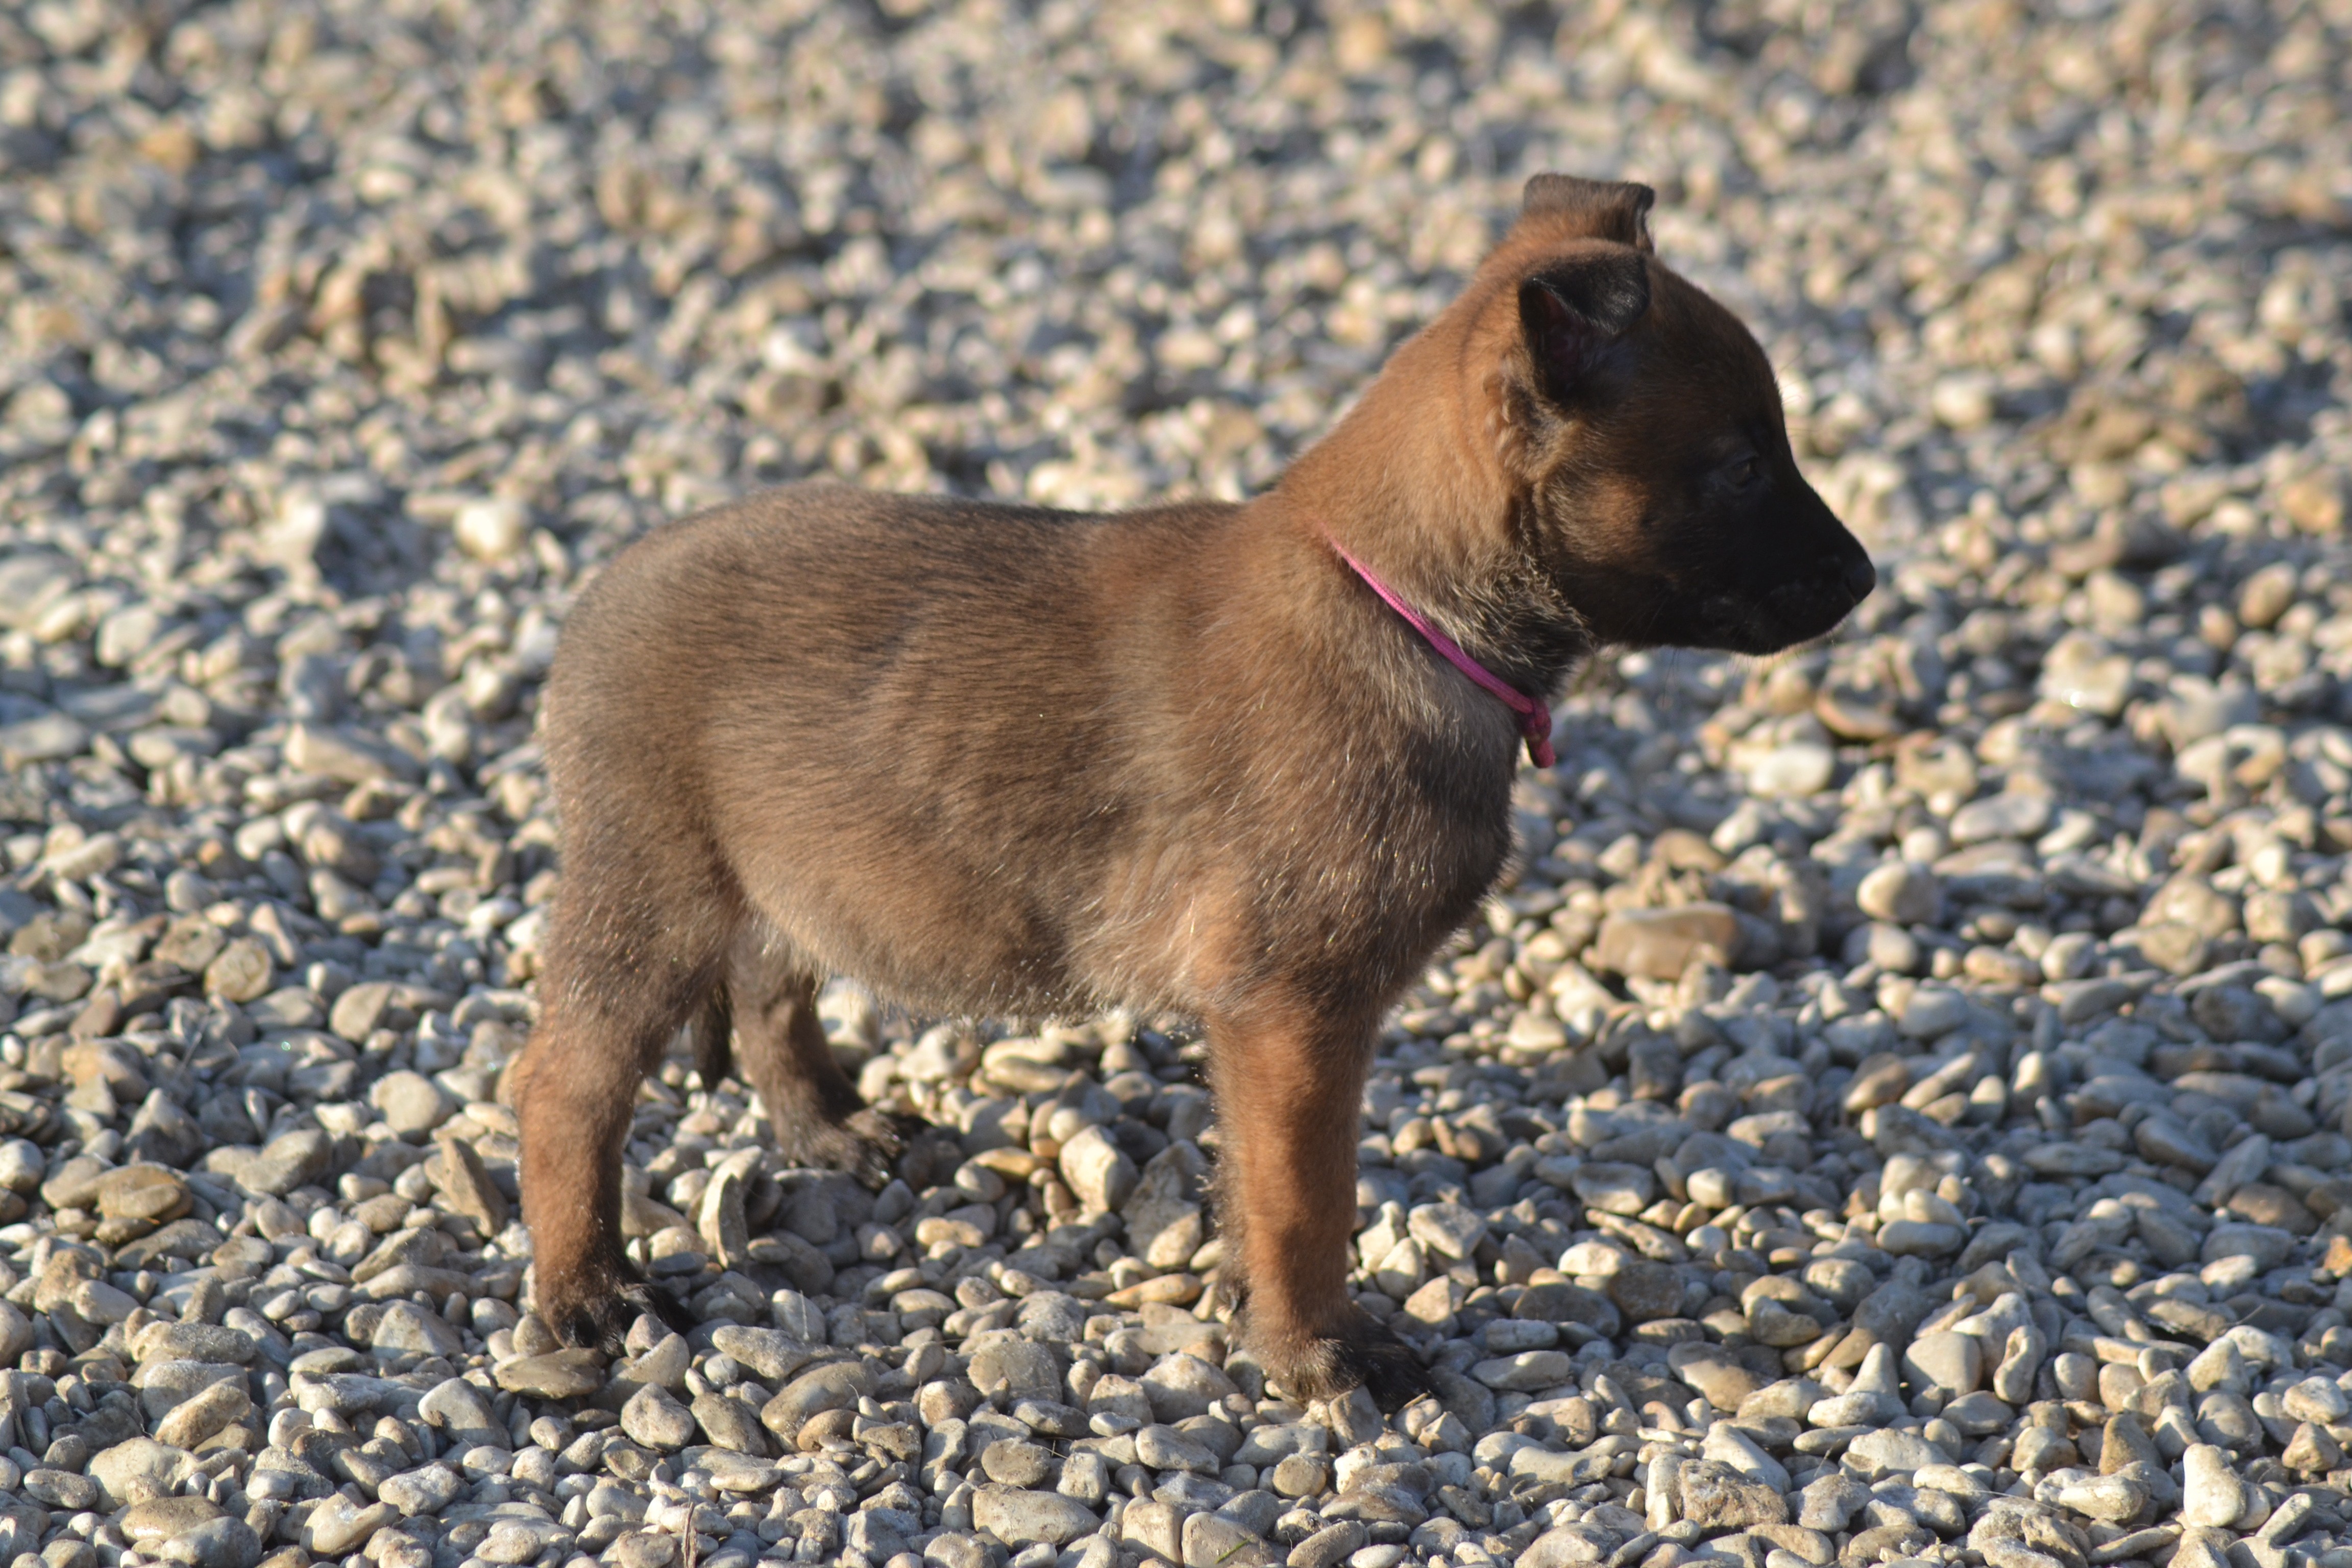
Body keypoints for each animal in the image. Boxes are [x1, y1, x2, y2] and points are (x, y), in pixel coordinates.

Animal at [515, 177, 1872, 1401]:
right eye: (1741, 467)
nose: (1866, 577)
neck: (1400, 601)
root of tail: (596, 596)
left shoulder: (1266, 1025)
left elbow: (1257, 1182)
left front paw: (1251, 1305)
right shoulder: (1296, 1011)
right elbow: (1309, 1197)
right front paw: (1315, 1350)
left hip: (789, 864)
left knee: (767, 984)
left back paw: (827, 1126)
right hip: (654, 890)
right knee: (564, 1085)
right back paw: (585, 1290)